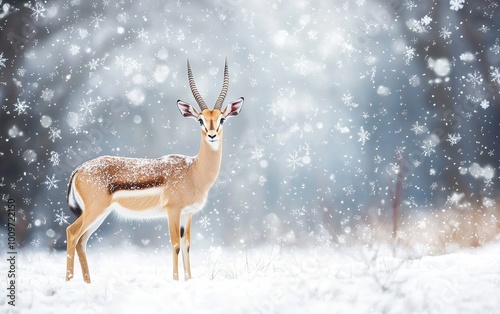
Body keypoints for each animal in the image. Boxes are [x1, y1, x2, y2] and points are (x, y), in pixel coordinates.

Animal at [65, 59, 245, 282]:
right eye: (200, 120)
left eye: (222, 119)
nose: (212, 135)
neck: (193, 171)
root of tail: (78, 170)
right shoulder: (173, 210)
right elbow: (175, 245)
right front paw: (176, 281)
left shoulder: (188, 214)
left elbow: (187, 246)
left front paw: (189, 281)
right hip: (94, 211)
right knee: (72, 233)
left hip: (100, 215)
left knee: (82, 241)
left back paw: (88, 283)